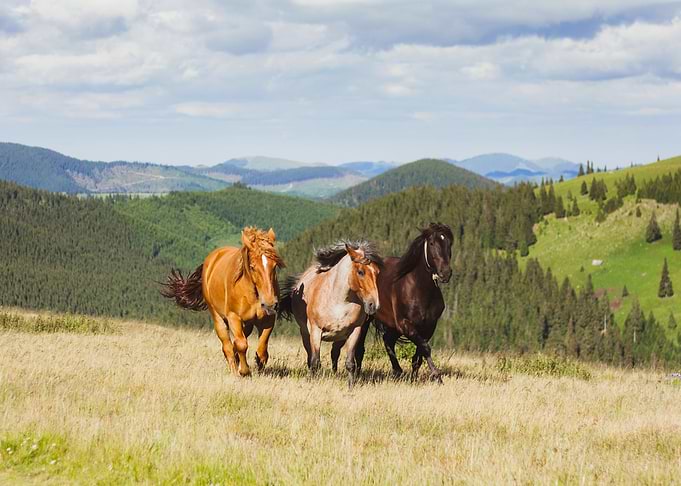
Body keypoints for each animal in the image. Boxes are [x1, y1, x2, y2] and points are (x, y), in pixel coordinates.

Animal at [161, 227, 285, 376]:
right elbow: (241, 344)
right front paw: (244, 371)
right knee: (227, 346)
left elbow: (262, 350)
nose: (270, 304)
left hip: (247, 324)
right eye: (252, 266)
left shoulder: (268, 319)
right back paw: (234, 368)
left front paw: (258, 365)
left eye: (274, 266)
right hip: (218, 317)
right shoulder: (233, 317)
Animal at [279, 241, 382, 387]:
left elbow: (350, 363)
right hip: (305, 334)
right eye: (360, 272)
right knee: (311, 357)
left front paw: (351, 386)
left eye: (377, 272)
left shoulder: (354, 331)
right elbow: (315, 362)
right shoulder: (315, 332)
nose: (374, 305)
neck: (338, 302)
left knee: (335, 353)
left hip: (340, 338)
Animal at [333, 223, 453, 383]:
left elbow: (419, 354)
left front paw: (414, 378)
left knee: (387, 340)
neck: (419, 289)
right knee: (360, 349)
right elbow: (425, 348)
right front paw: (437, 376)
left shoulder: (429, 327)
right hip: (367, 321)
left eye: (449, 243)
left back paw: (397, 371)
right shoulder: (405, 325)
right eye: (432, 243)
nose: (445, 273)